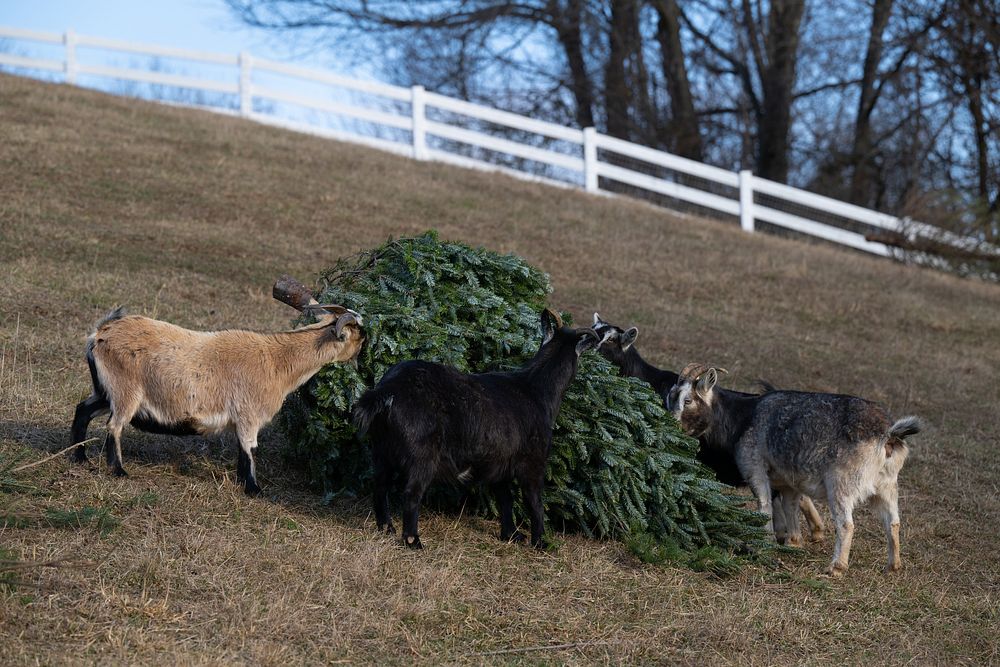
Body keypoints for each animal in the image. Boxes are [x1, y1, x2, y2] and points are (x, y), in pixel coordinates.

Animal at [354, 310, 600, 552]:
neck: (535, 390)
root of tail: (388, 390)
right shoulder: (532, 463)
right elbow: (534, 501)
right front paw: (541, 543)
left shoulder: (501, 464)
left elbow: (505, 499)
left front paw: (512, 535)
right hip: (421, 457)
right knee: (412, 494)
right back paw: (413, 541)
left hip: (382, 450)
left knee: (380, 486)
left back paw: (386, 528)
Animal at [664, 362, 920, 576]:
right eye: (670, 397)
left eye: (688, 401)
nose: (671, 424)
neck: (745, 417)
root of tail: (888, 435)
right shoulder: (788, 481)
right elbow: (790, 506)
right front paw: (793, 542)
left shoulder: (754, 466)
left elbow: (764, 505)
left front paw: (766, 541)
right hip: (887, 485)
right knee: (893, 521)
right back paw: (893, 566)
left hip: (842, 483)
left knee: (846, 524)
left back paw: (836, 567)